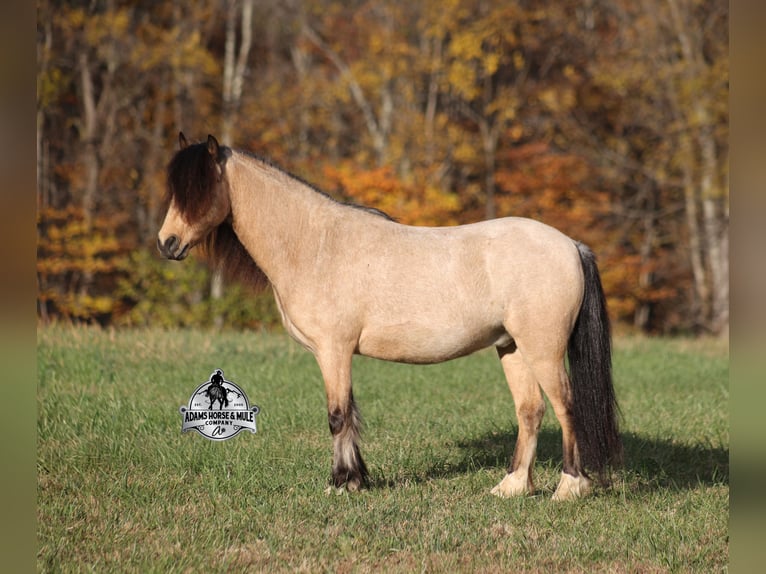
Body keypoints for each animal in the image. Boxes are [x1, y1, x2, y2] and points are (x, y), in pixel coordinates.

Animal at [158, 133, 622, 500]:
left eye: (198, 190)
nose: (167, 243)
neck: (315, 244)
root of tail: (570, 244)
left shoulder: (334, 350)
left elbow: (338, 415)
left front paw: (341, 484)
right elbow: (349, 413)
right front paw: (356, 479)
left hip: (543, 349)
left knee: (566, 407)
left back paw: (569, 487)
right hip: (512, 348)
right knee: (530, 410)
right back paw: (511, 487)